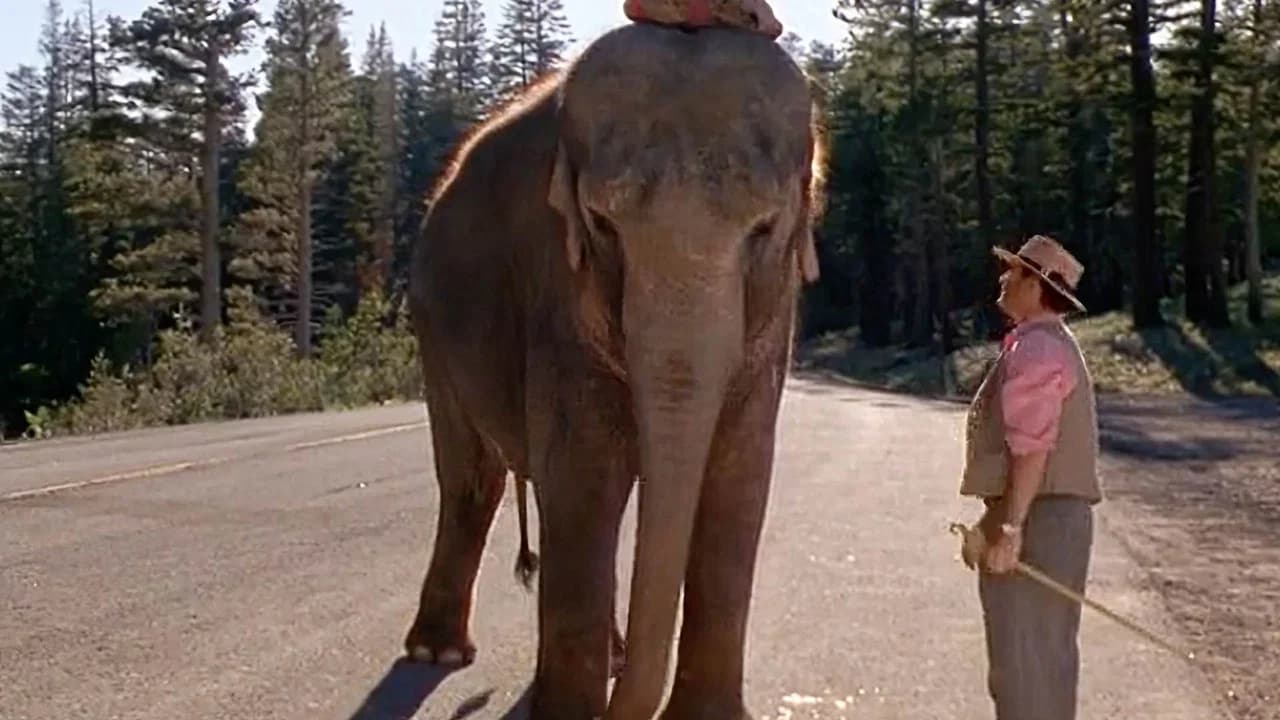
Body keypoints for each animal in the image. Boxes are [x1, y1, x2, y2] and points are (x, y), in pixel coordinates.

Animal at [403, 21, 824, 720]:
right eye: (602, 223)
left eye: (764, 229)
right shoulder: (558, 288)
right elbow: (583, 470)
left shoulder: (774, 317)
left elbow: (739, 474)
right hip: (431, 327)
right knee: (472, 476)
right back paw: (437, 654)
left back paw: (611, 657)